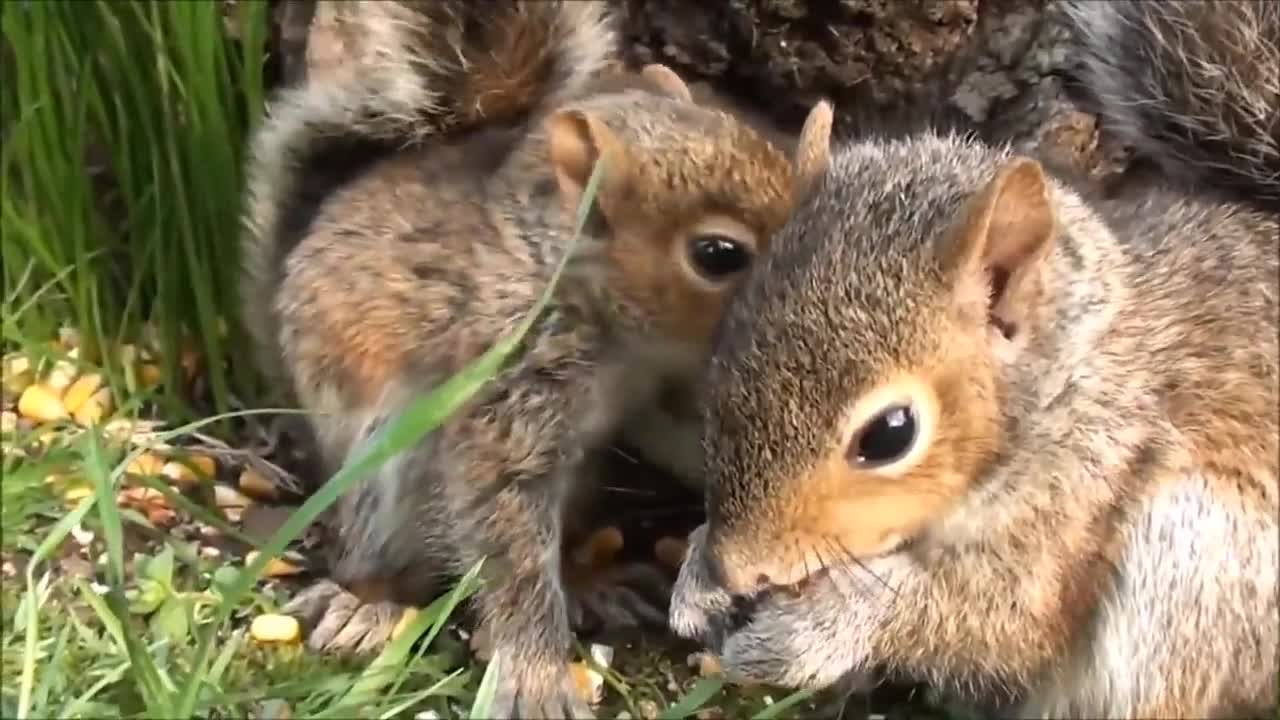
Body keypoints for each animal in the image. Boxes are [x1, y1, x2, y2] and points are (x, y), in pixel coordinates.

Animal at [238, 1, 832, 717]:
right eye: (719, 255)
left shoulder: (668, 389)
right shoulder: (503, 386)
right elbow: (510, 548)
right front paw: (535, 676)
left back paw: (590, 580)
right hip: (387, 465)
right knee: (381, 547)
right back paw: (367, 603)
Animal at [668, 1, 1279, 718]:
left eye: (889, 435)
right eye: (726, 345)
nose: (739, 566)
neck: (1066, 375)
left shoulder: (1085, 493)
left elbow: (996, 618)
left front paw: (817, 626)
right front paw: (698, 574)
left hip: (1201, 557)